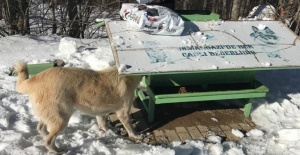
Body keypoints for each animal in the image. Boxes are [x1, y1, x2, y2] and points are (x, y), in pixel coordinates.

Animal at [14, 61, 144, 153]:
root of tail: (37, 78)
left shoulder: (100, 111)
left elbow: (103, 123)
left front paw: (109, 131)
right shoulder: (123, 112)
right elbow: (130, 127)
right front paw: (136, 136)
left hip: (50, 114)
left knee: (41, 128)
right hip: (62, 118)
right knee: (48, 141)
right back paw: (58, 150)